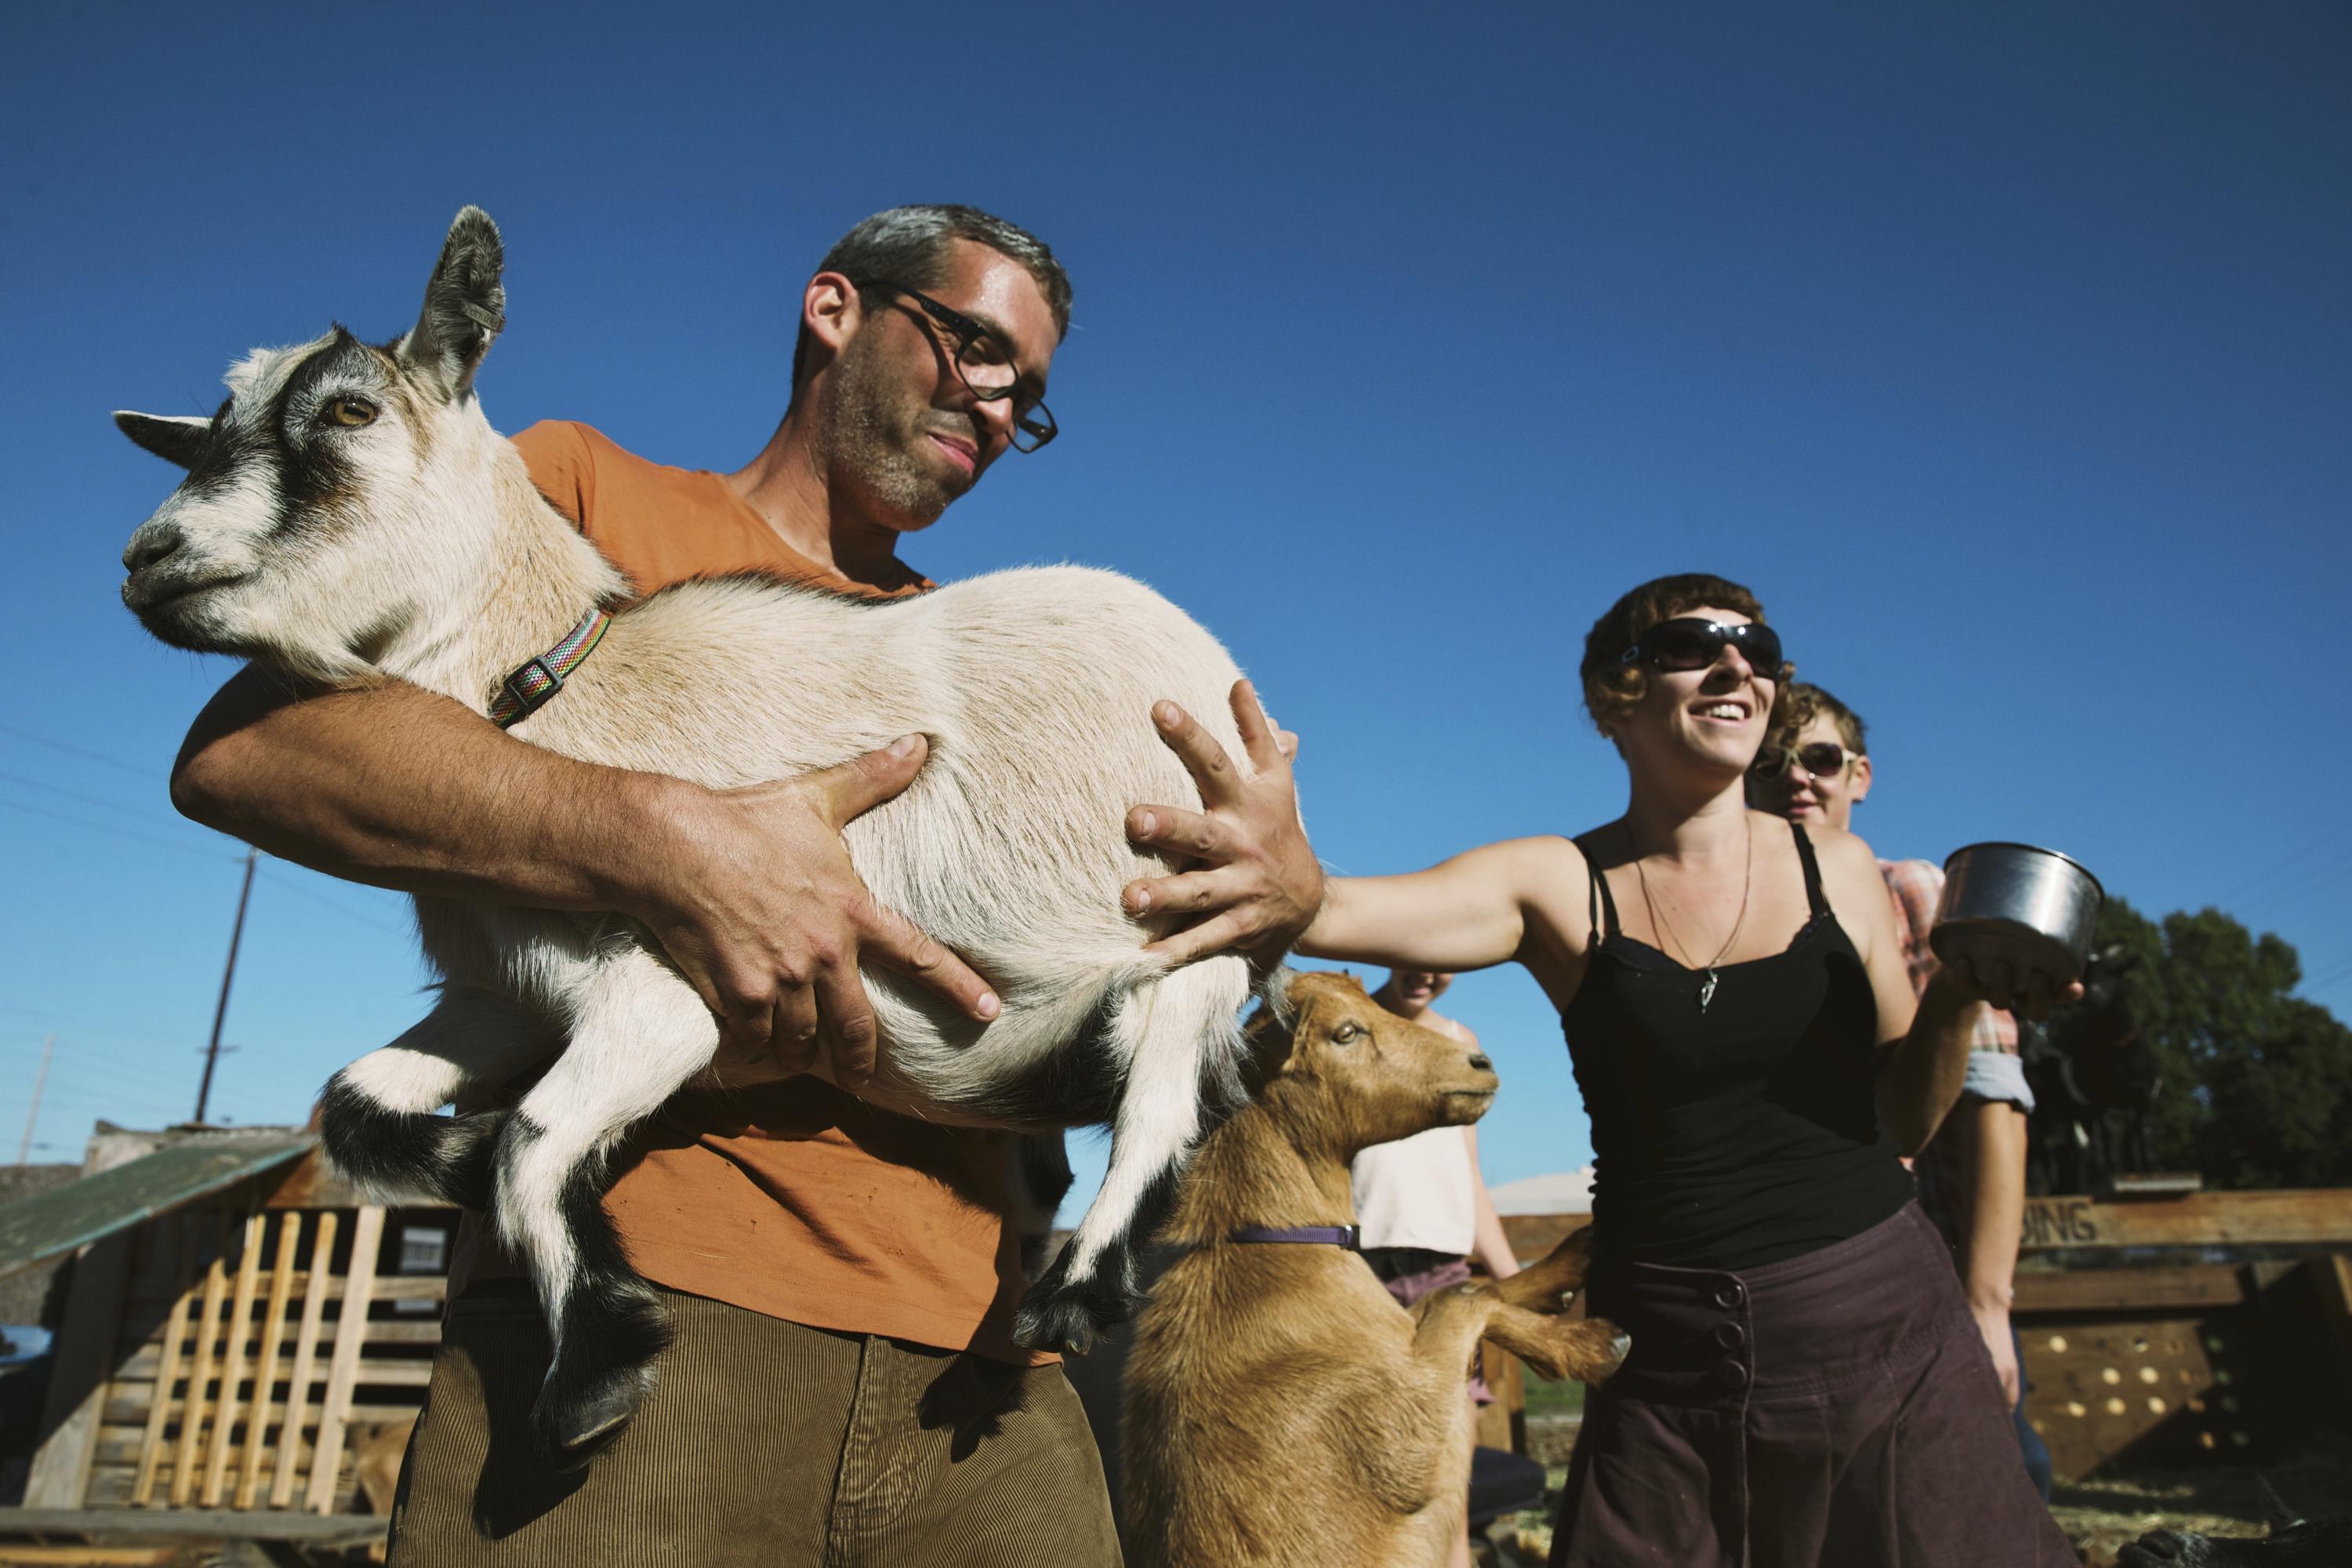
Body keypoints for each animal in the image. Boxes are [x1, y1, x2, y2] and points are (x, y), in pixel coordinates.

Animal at [114, 205, 1270, 1457]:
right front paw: (459, 1166)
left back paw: (1074, 1290)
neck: (557, 692)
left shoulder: (675, 987)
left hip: (1195, 918)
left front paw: (592, 1376)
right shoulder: (507, 991)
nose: (147, 559)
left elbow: (534, 1141)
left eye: (348, 412)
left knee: (1167, 1086)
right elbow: (358, 1104)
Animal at [1115, 973, 1618, 1561]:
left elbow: (1464, 1293)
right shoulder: (1410, 1439)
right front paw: (1591, 1346)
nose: (1479, 1062)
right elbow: (1460, 1298)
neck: (1271, 1249)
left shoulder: (1398, 1332)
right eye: (1346, 1032)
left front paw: (1569, 1264)